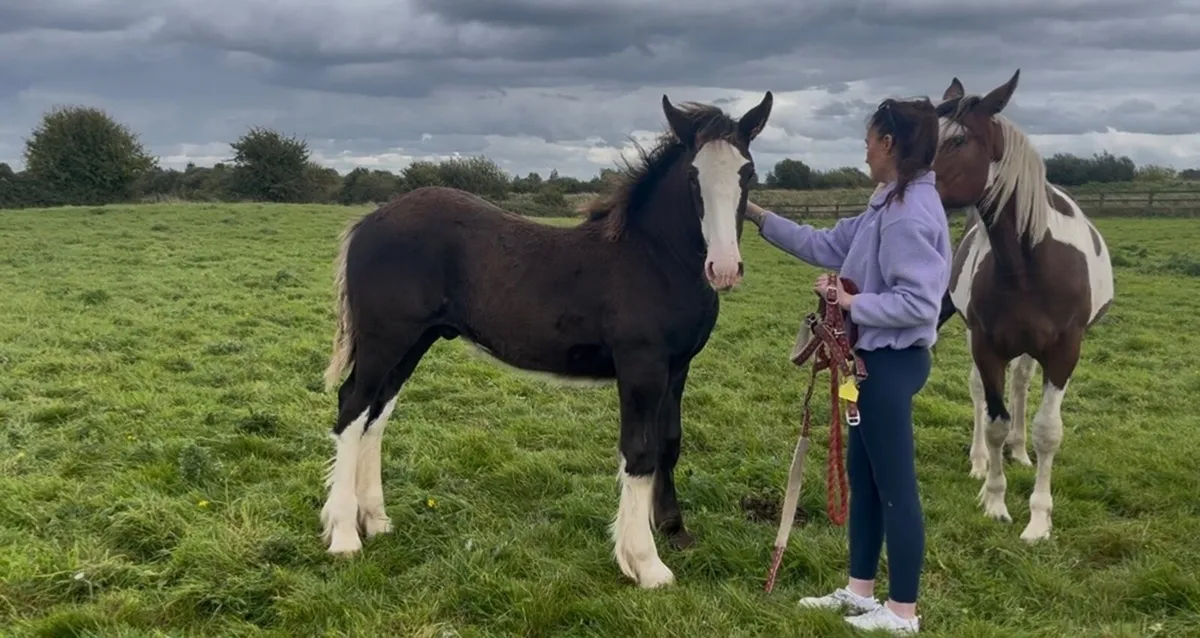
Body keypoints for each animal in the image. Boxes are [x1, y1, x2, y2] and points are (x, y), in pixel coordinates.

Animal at [317, 92, 774, 588]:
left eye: (747, 172)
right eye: (693, 175)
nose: (724, 269)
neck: (654, 258)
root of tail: (369, 221)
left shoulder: (677, 368)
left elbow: (669, 443)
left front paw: (674, 530)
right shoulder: (642, 367)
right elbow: (640, 453)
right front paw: (645, 563)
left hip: (413, 342)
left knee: (376, 416)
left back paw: (376, 521)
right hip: (385, 340)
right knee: (352, 408)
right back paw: (344, 536)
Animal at [931, 69, 1114, 542]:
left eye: (958, 140)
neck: (1029, 263)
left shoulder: (1065, 351)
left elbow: (1048, 432)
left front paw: (1039, 519)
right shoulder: (987, 344)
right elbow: (994, 418)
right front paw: (995, 501)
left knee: (1021, 384)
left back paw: (1020, 450)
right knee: (982, 393)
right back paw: (981, 462)